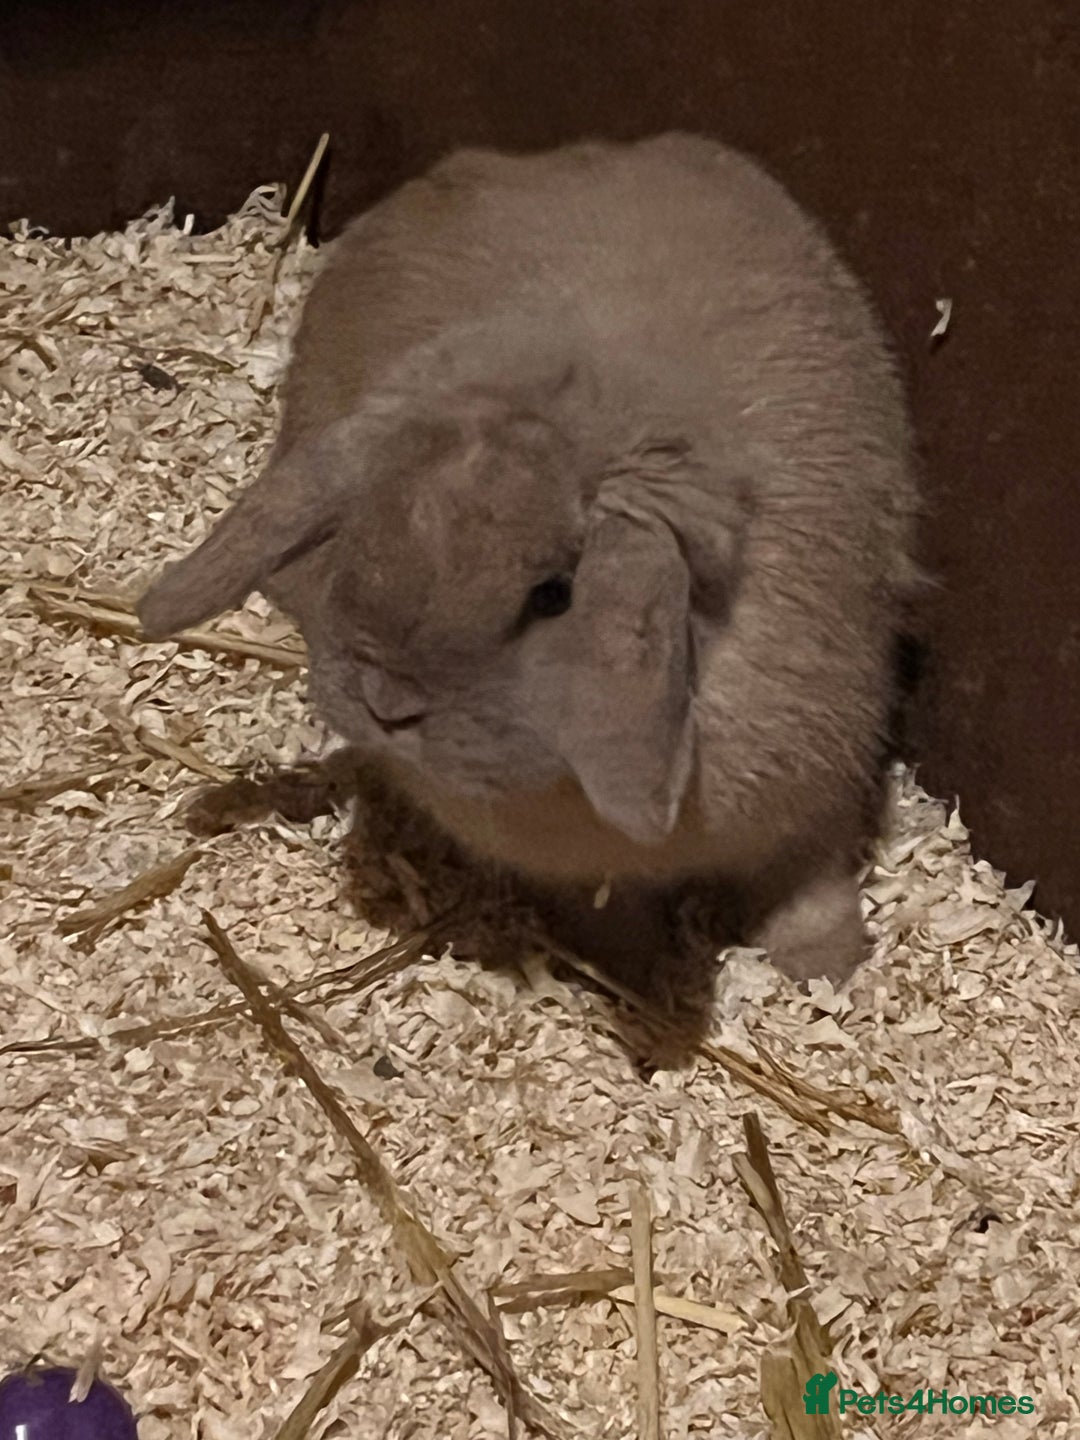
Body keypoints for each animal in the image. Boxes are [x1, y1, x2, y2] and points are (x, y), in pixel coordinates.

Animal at [138, 133, 919, 987]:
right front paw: (642, 979)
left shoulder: (815, 801)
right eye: (361, 535)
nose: (386, 704)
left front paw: (828, 967)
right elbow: (613, 922)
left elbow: (809, 884)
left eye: (553, 594)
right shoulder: (581, 878)